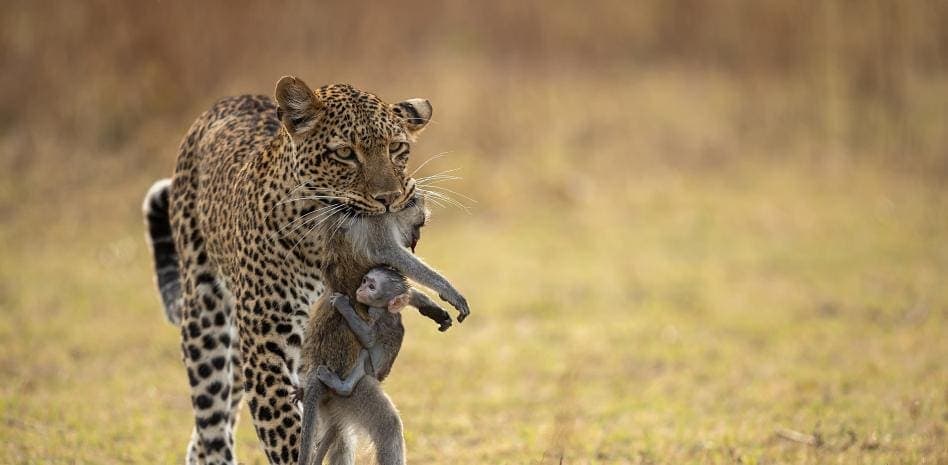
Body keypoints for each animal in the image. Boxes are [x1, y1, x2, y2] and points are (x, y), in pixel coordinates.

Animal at [142, 76, 465, 465]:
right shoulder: (266, 347)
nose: (390, 198)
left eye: (397, 148)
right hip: (207, 318)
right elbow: (289, 436)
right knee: (212, 425)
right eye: (345, 154)